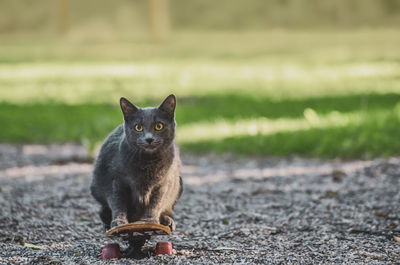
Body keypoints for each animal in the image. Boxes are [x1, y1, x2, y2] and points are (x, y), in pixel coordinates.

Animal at [90, 94, 182, 231]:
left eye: (159, 126)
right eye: (138, 127)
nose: (149, 139)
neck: (147, 162)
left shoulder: (163, 183)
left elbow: (156, 203)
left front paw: (150, 221)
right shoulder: (115, 181)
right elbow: (118, 202)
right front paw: (119, 222)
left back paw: (167, 221)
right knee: (103, 211)